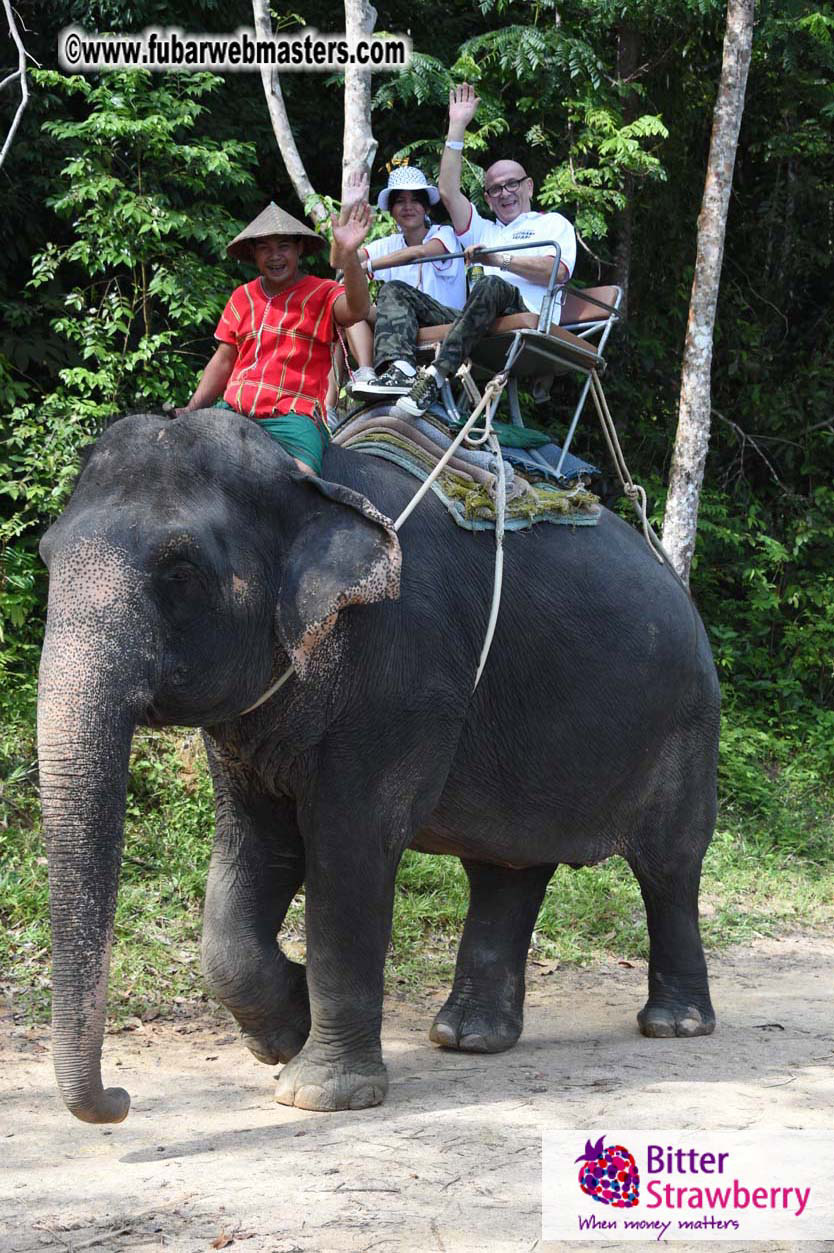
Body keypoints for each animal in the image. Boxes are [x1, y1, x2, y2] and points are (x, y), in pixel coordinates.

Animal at [37, 407, 720, 1125]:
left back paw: (674, 1024)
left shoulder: (403, 675)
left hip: (686, 724)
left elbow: (351, 846)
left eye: (179, 571)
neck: (307, 479)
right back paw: (467, 1037)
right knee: (506, 867)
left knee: (669, 865)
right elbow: (257, 848)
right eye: (47, 557)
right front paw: (287, 1029)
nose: (119, 1099)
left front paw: (318, 1093)